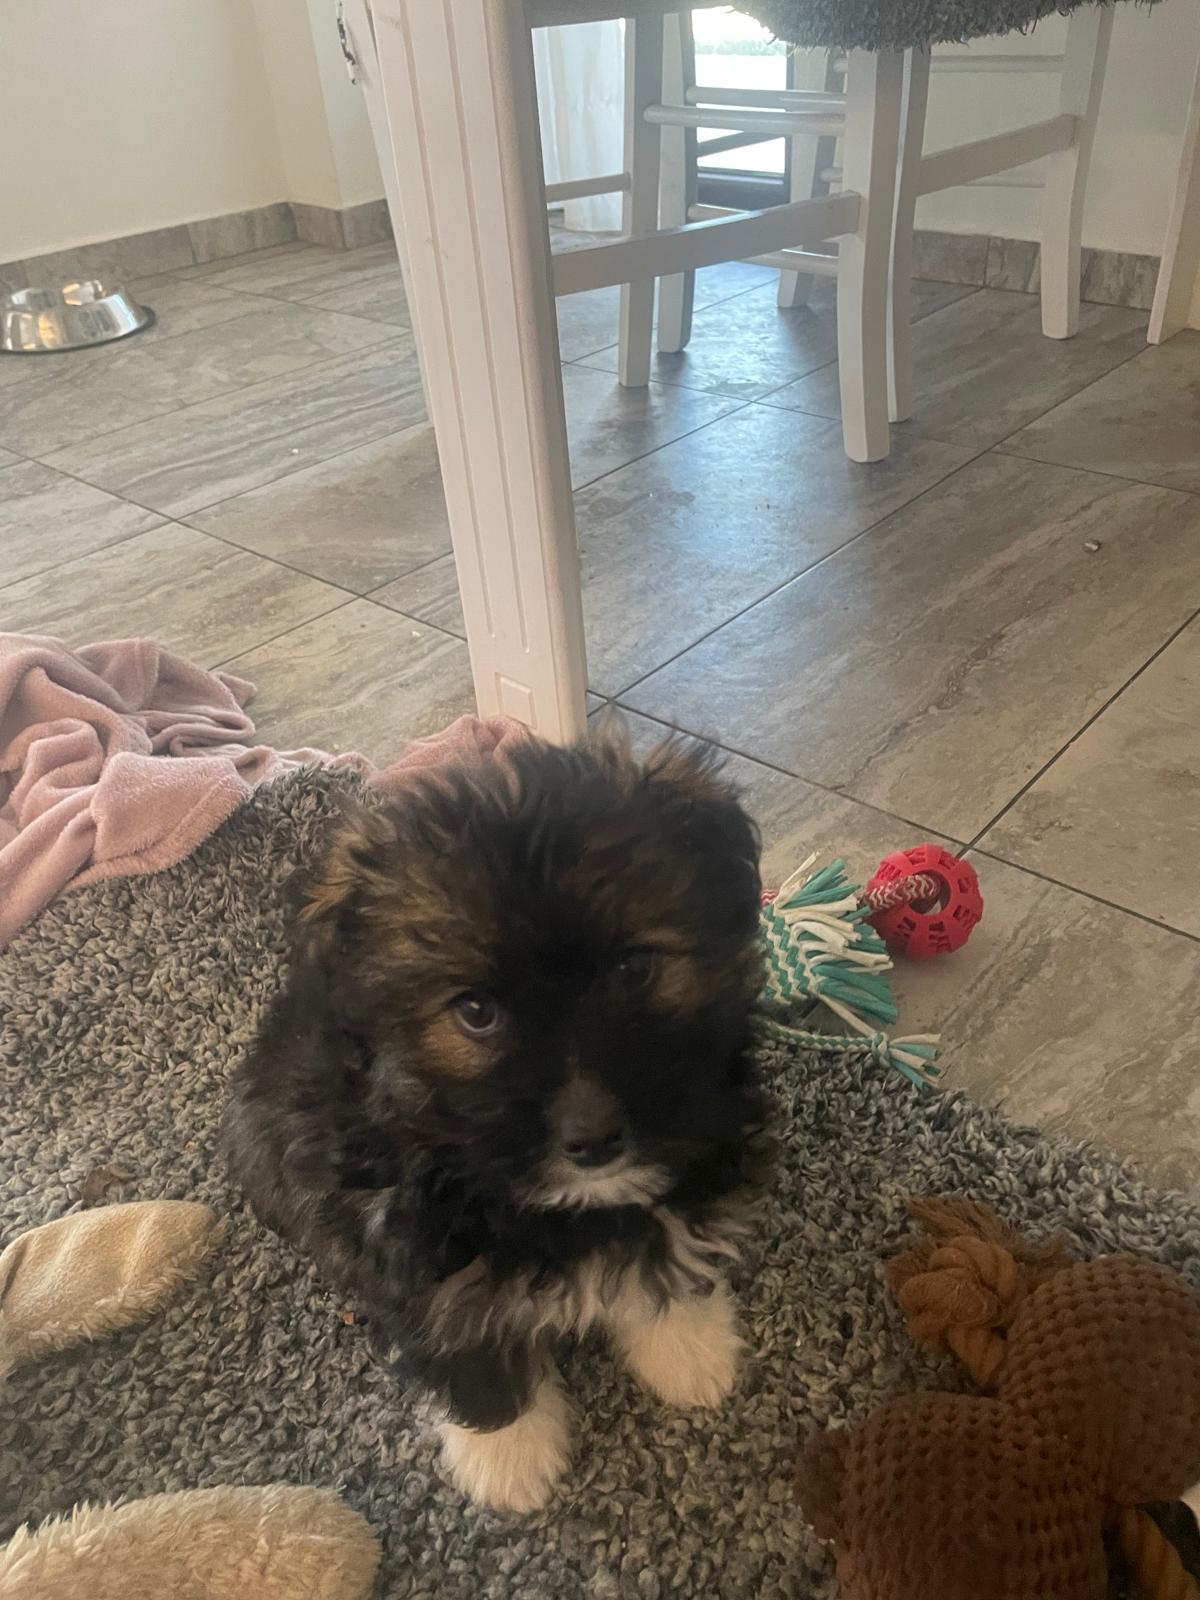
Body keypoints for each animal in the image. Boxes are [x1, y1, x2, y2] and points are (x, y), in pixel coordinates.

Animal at [222, 729, 767, 1512]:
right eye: (475, 1011)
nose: (593, 1140)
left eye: (634, 968)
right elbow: (470, 1347)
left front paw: (687, 1347)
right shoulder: (419, 1257)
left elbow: (667, 1238)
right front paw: (509, 1456)